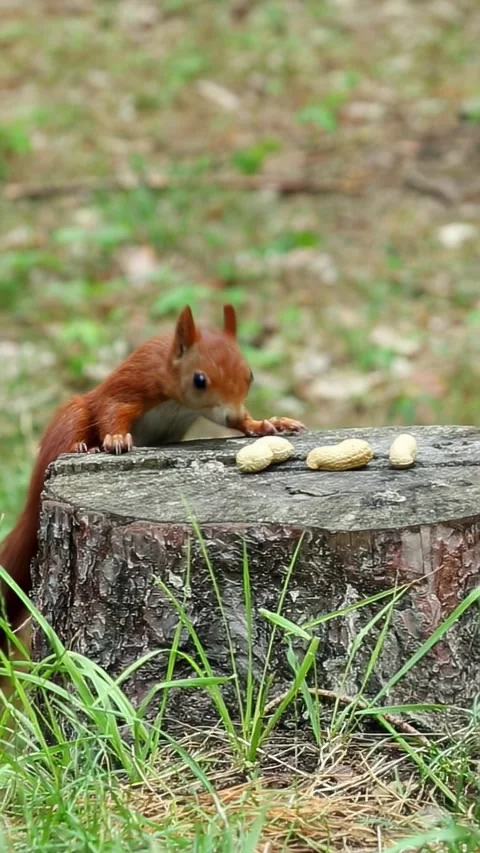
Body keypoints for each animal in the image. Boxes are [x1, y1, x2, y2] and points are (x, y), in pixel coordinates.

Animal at [0, 304, 305, 635]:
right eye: (199, 380)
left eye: (250, 375)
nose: (233, 413)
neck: (177, 401)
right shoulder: (135, 379)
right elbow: (111, 407)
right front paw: (116, 439)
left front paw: (266, 423)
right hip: (71, 418)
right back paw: (83, 448)